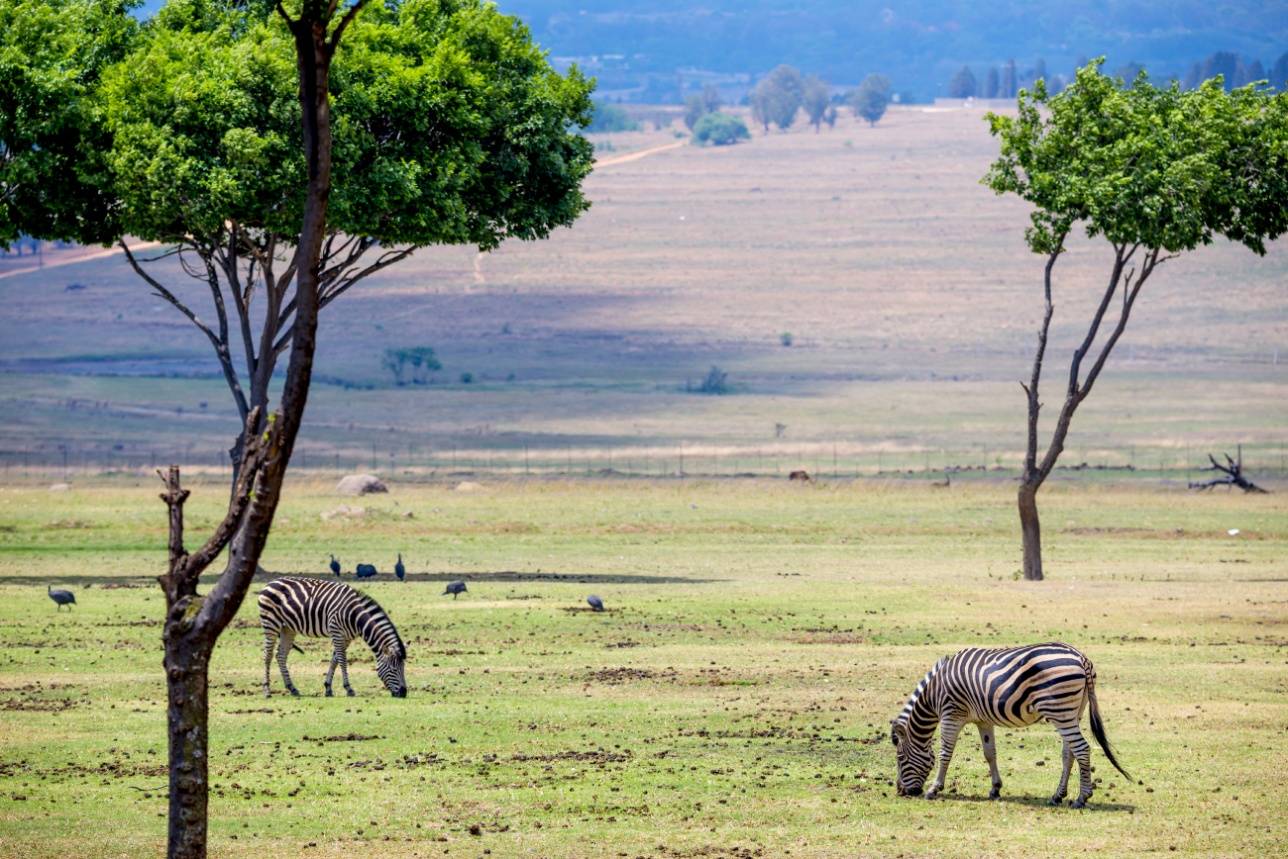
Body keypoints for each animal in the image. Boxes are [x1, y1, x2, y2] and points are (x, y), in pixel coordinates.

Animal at [257, 576, 407, 700]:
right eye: (394, 670)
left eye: (403, 668)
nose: (404, 693)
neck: (355, 616)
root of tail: (270, 583)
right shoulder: (337, 631)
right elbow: (342, 660)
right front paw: (349, 689)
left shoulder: (346, 637)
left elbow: (335, 659)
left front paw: (328, 688)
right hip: (271, 624)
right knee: (267, 656)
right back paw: (267, 690)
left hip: (287, 628)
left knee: (281, 656)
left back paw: (292, 688)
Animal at [891, 641, 1133, 808]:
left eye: (900, 758)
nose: (900, 791)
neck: (935, 693)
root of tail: (1082, 658)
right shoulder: (983, 720)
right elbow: (990, 753)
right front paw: (995, 789)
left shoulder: (952, 714)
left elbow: (944, 754)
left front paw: (934, 789)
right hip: (1073, 712)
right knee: (1069, 752)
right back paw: (1057, 796)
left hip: (1060, 711)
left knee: (1081, 749)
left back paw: (1082, 798)